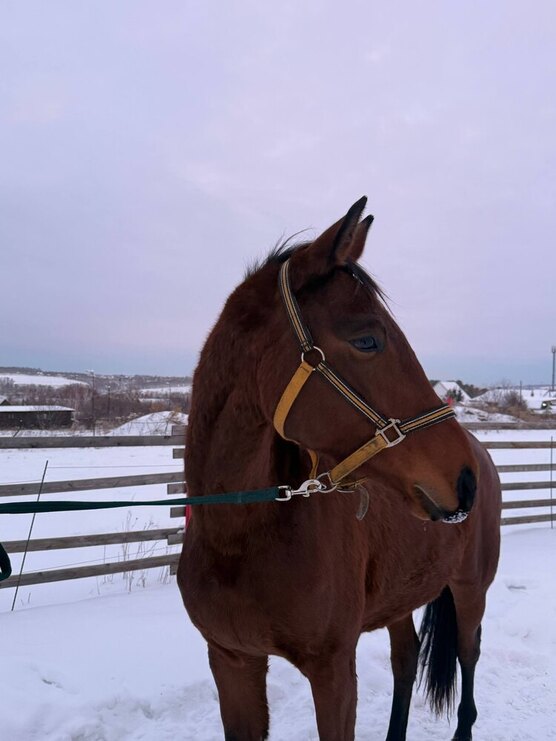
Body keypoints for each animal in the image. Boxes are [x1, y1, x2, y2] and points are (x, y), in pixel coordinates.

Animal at [177, 197, 501, 741]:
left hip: (470, 588)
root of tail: (485, 458)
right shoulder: (232, 662)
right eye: (368, 340)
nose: (463, 479)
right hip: (401, 595)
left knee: (468, 656)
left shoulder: (332, 671)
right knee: (406, 659)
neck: (238, 536)